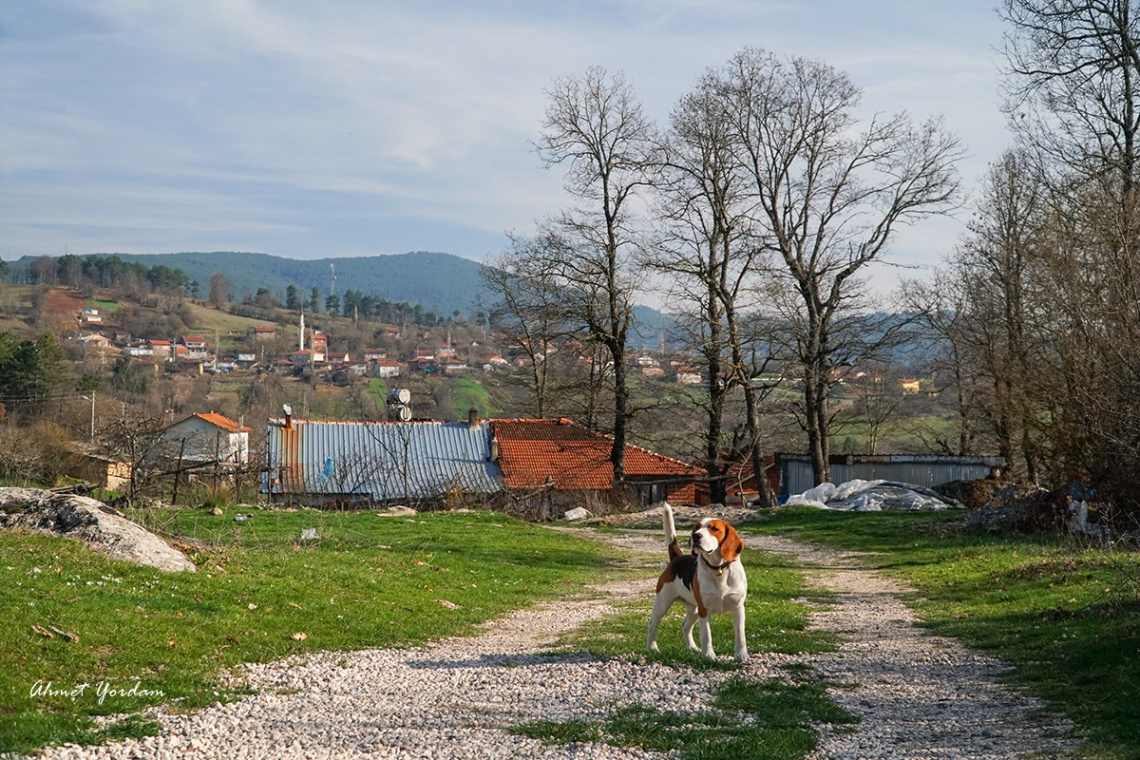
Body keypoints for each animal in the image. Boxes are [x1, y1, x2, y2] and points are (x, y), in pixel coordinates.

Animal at [652, 505, 747, 660]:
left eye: (714, 529)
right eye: (696, 527)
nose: (696, 536)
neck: (718, 569)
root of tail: (677, 557)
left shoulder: (738, 607)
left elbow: (740, 634)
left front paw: (741, 655)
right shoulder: (704, 609)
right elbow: (706, 635)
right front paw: (709, 656)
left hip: (694, 609)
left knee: (685, 626)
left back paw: (692, 648)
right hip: (663, 603)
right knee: (652, 625)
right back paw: (652, 648)